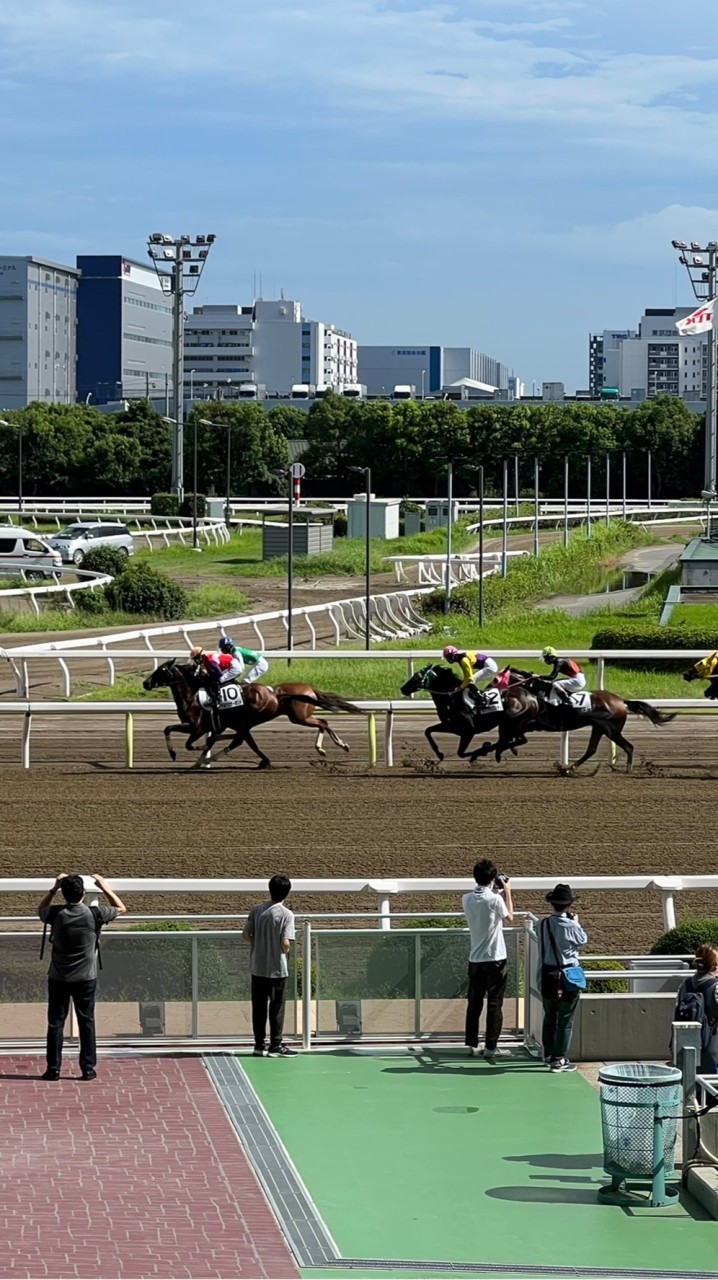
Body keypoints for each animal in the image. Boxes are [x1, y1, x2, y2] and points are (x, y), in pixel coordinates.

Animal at [140, 660, 363, 768]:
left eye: (162, 670)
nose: (146, 683)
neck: (193, 697)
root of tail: (274, 693)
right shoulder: (208, 726)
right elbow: (168, 728)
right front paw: (197, 756)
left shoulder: (197, 727)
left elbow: (184, 739)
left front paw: (179, 753)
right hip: (275, 719)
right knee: (244, 739)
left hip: (294, 717)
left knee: (322, 722)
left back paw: (334, 746)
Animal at [396, 660, 527, 757]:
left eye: (417, 677)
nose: (402, 689)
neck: (451, 698)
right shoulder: (451, 726)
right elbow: (428, 731)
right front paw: (439, 754)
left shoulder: (468, 731)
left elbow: (461, 753)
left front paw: (483, 749)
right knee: (512, 740)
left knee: (517, 740)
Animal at [483, 670, 675, 768]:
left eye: (495, 679)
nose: (485, 690)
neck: (537, 694)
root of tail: (622, 701)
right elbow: (511, 735)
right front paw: (508, 749)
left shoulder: (535, 722)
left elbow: (511, 735)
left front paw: (503, 750)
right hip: (599, 728)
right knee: (592, 749)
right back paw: (571, 767)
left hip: (611, 730)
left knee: (628, 746)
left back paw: (626, 769)